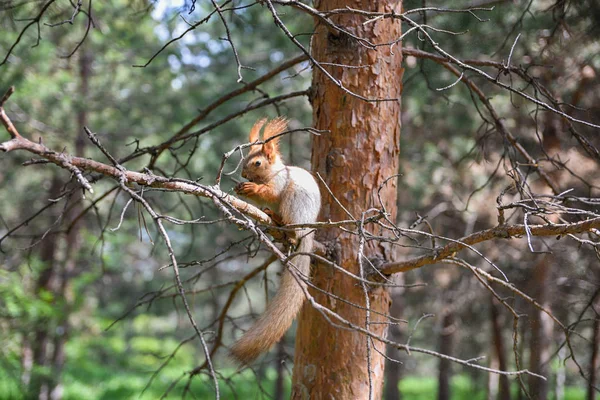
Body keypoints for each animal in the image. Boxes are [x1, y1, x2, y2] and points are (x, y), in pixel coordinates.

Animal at [232, 117, 322, 364]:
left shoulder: (280, 183)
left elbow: (270, 193)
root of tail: (307, 230)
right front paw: (240, 189)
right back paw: (272, 216)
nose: (243, 176)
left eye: (257, 163)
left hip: (293, 202)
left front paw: (252, 188)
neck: (271, 173)